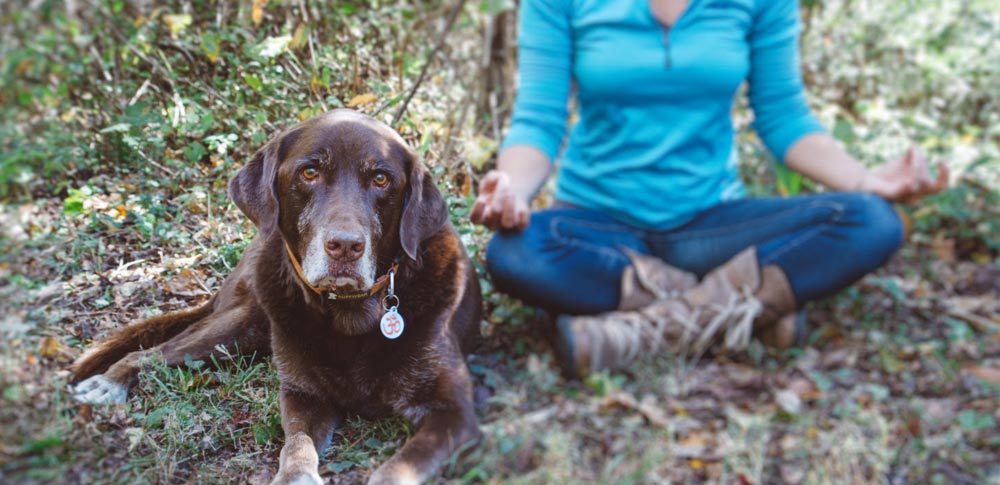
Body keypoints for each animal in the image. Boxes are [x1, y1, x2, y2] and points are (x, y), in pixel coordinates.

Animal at [70, 110, 484, 484]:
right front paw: (295, 475)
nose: (345, 246)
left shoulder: (454, 412)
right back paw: (110, 381)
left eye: (381, 178)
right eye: (309, 172)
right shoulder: (301, 394)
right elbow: (296, 446)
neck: (350, 315)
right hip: (238, 327)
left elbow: (395, 471)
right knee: (153, 353)